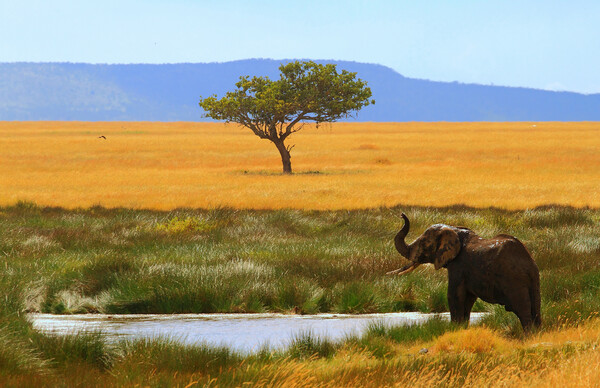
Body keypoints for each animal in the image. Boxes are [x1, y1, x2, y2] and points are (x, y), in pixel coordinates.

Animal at [392, 212, 540, 330]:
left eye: (423, 243)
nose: (401, 215)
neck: (454, 229)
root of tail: (528, 262)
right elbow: (468, 299)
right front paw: (462, 327)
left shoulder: (458, 266)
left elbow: (454, 295)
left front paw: (454, 328)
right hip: (534, 279)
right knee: (535, 309)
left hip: (513, 280)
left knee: (522, 309)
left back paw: (528, 336)